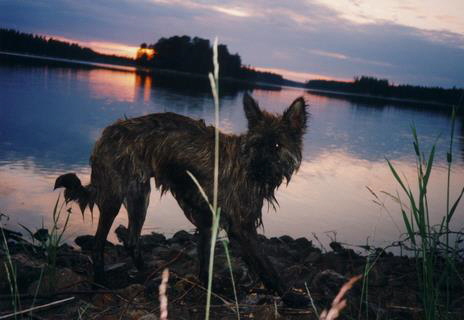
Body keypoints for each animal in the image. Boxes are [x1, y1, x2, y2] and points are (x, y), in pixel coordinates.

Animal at [54, 92, 308, 300]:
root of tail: (107, 133)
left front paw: (208, 286)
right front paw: (290, 296)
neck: (245, 162)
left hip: (139, 198)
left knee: (132, 240)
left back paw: (148, 275)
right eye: (256, 145)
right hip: (114, 200)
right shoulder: (241, 226)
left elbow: (206, 261)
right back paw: (101, 282)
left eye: (276, 146)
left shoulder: (209, 221)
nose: (257, 170)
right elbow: (266, 265)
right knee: (98, 244)